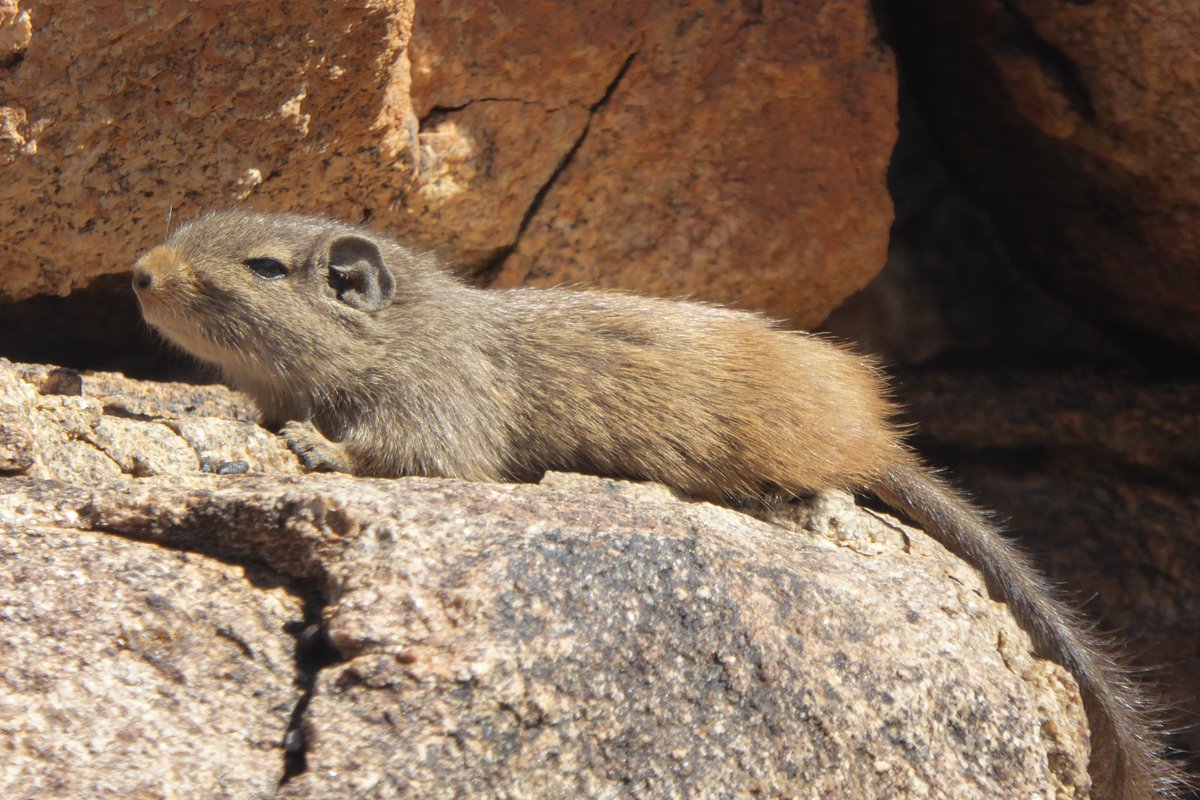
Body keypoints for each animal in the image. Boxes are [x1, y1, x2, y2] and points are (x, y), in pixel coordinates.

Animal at [132, 209, 1183, 799]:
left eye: (265, 268)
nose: (138, 272)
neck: (406, 328)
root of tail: (880, 439)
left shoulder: (438, 413)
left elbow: (407, 456)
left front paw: (309, 445)